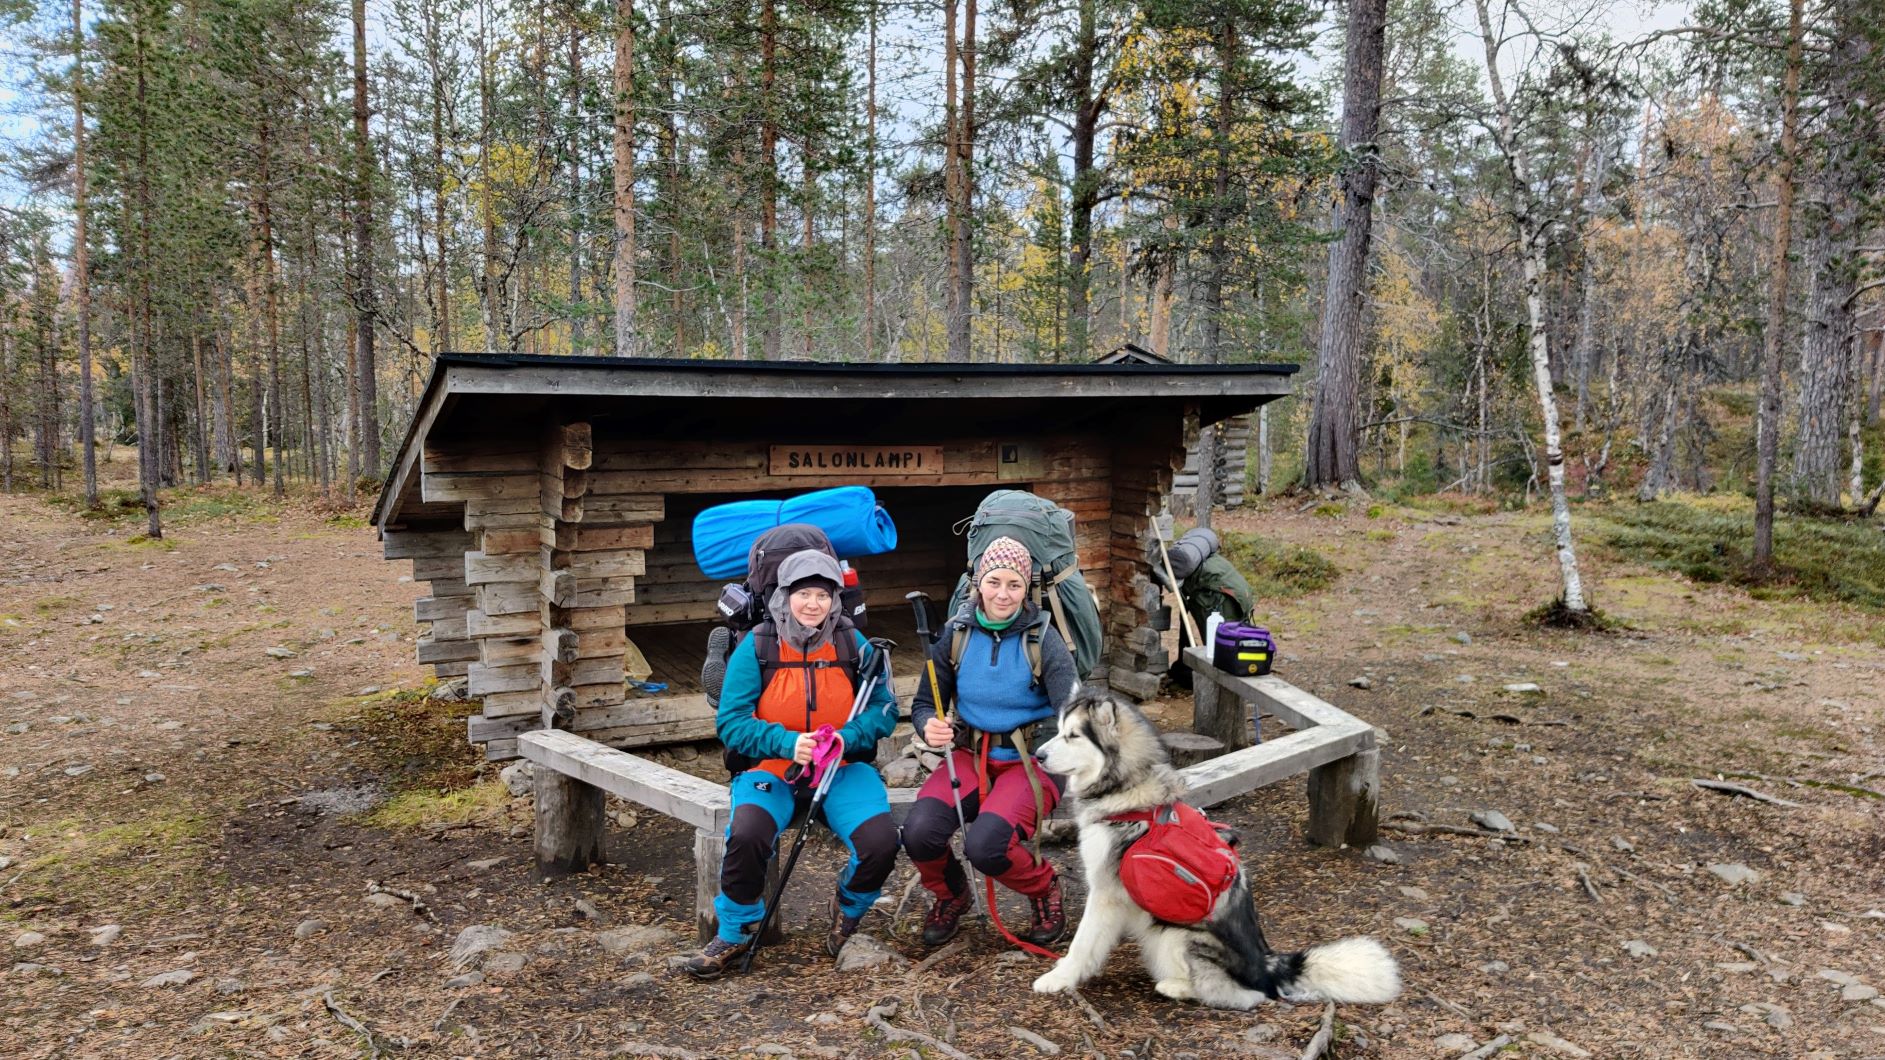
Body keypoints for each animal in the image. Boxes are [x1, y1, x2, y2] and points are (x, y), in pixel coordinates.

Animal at [1032, 686, 1402, 1003]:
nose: (1037, 755)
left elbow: (1083, 943)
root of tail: (1266, 963)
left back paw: (1175, 986)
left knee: (1238, 993)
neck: (1126, 787)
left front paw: (1059, 977)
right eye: (1059, 730)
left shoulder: (1105, 891)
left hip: (1172, 936)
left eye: (1073, 736)